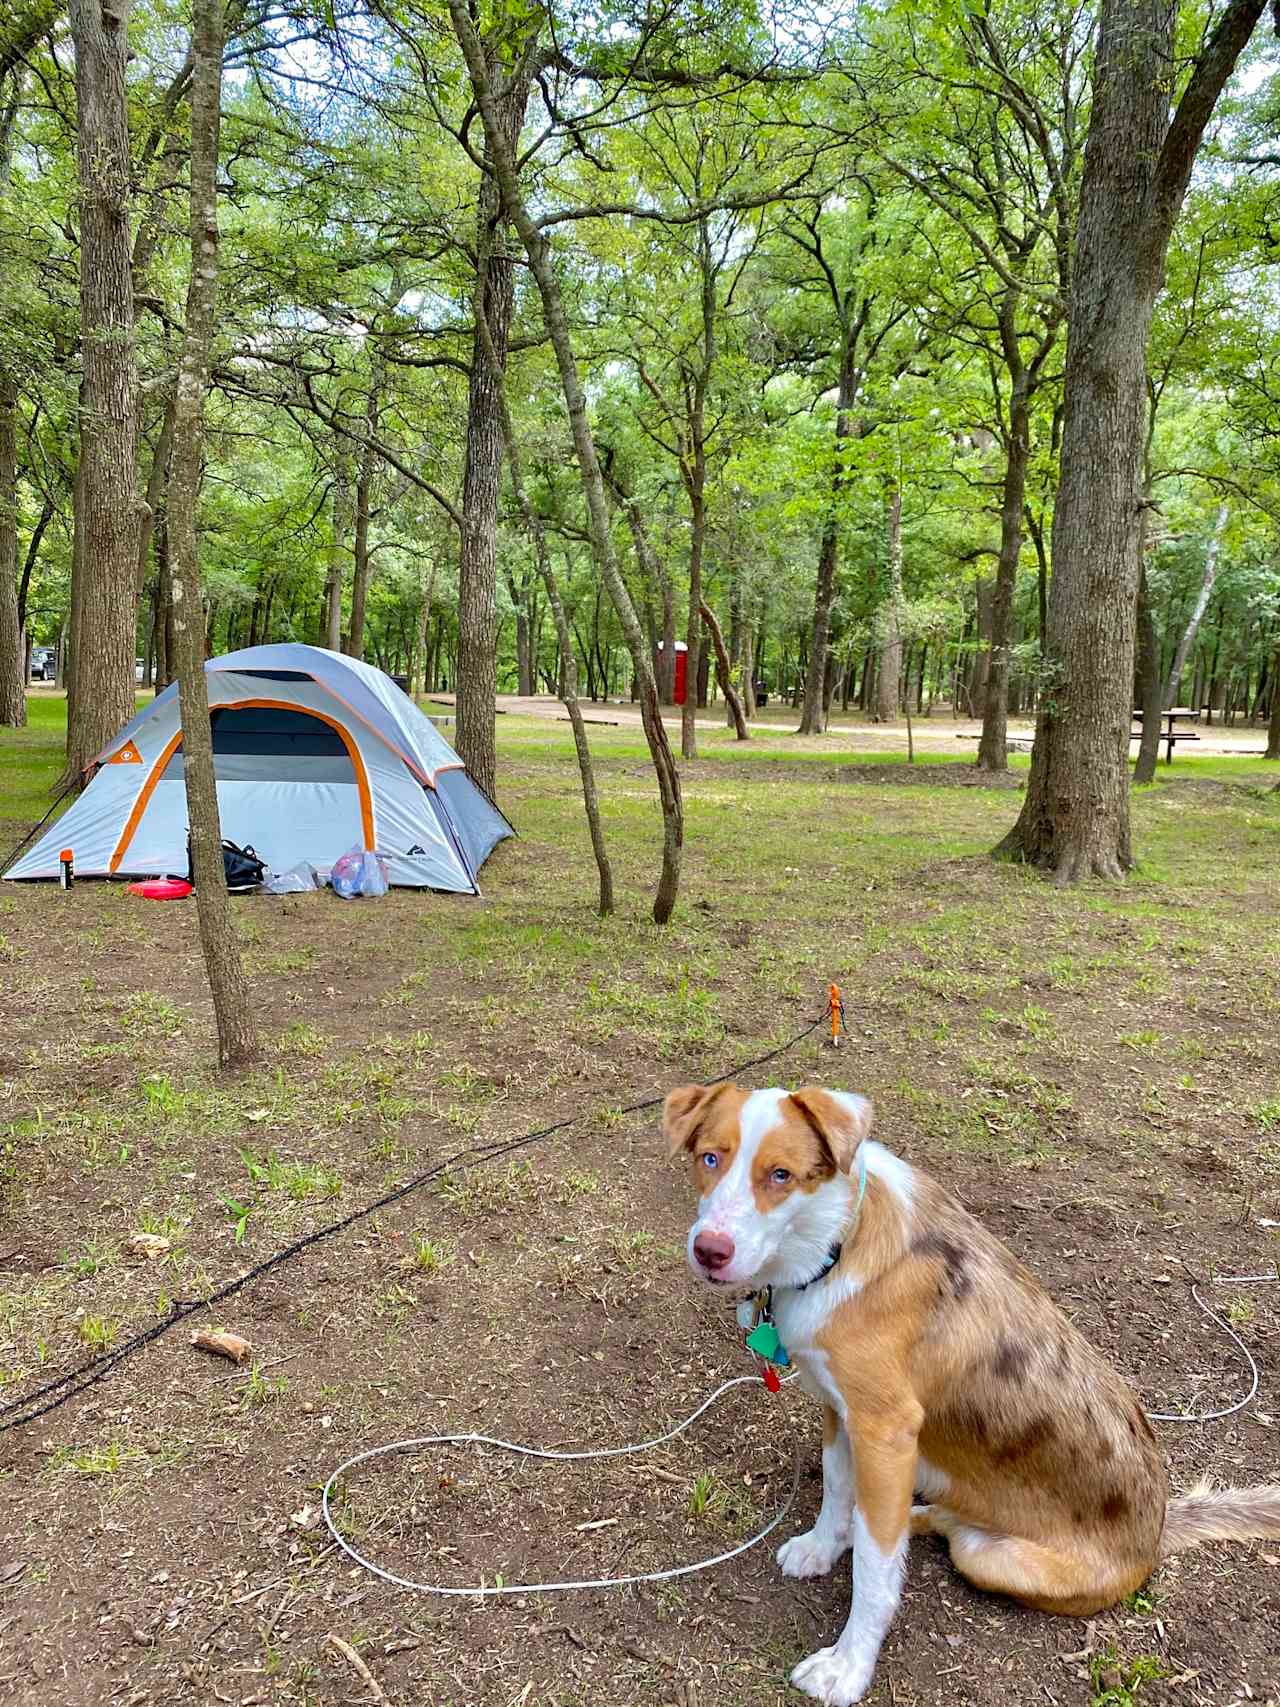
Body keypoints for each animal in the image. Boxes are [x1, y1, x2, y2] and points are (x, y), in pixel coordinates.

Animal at [665, 1085, 1280, 1707]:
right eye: (710, 1158)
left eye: (781, 1175)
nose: (710, 1250)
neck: (839, 1241)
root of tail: (1158, 1530)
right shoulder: (841, 1409)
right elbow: (839, 1490)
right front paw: (822, 1546)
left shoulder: (885, 1431)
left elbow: (875, 1574)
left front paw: (848, 1668)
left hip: (986, 1555)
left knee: (937, 1533)